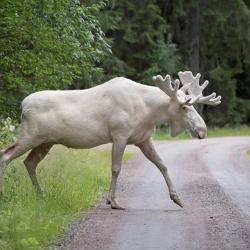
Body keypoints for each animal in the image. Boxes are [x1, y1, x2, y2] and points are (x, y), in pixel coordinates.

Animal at [0, 70, 221, 209]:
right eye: (184, 107)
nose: (202, 130)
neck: (149, 111)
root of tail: (22, 105)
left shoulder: (143, 139)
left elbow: (162, 165)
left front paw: (177, 198)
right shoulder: (119, 135)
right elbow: (116, 168)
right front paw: (112, 201)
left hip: (46, 142)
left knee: (29, 162)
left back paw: (41, 195)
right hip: (30, 135)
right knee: (6, 155)